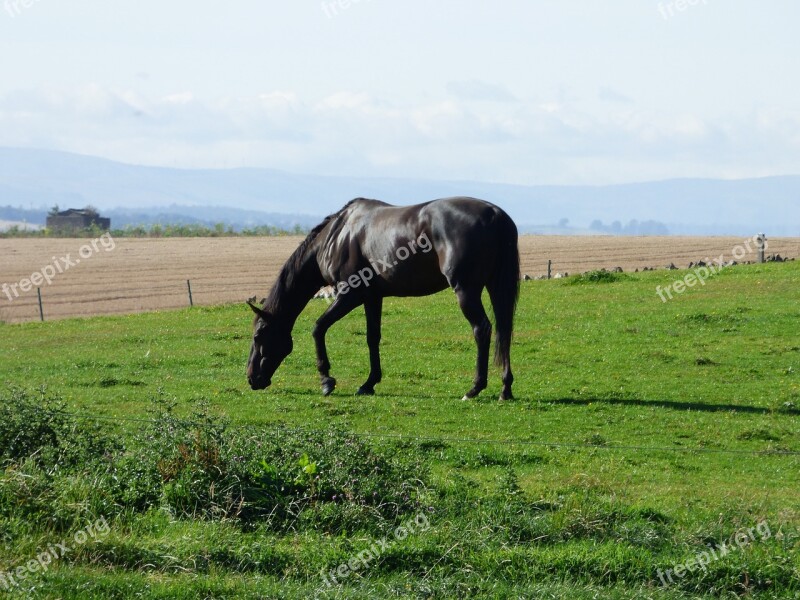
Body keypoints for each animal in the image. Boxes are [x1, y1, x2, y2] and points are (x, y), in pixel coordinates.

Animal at [247, 199, 520, 400]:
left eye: (259, 336)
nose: (251, 378)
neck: (336, 236)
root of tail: (495, 214)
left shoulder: (350, 295)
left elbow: (318, 328)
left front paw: (326, 380)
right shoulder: (373, 298)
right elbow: (372, 338)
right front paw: (369, 383)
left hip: (466, 290)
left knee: (482, 329)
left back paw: (474, 389)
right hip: (495, 287)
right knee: (503, 331)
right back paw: (505, 389)